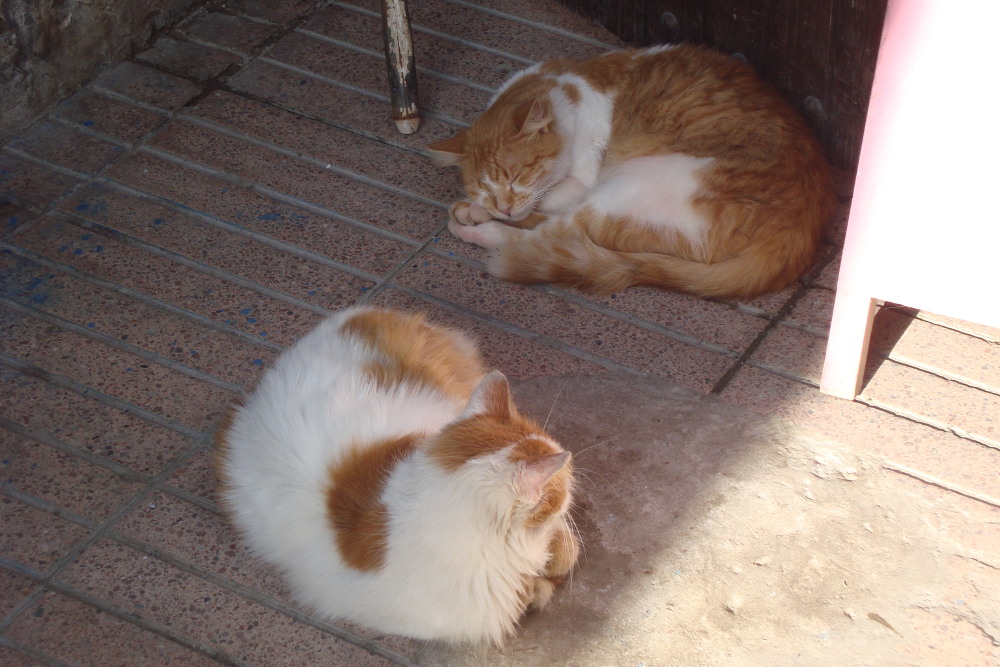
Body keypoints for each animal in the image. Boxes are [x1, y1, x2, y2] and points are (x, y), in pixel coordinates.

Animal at [430, 44, 836, 300]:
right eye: (485, 188)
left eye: (517, 177)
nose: (503, 206)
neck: (563, 89)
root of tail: (798, 237)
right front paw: (477, 206)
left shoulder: (582, 180)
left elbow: (545, 203)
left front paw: (490, 213)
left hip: (634, 184)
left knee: (550, 234)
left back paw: (475, 230)